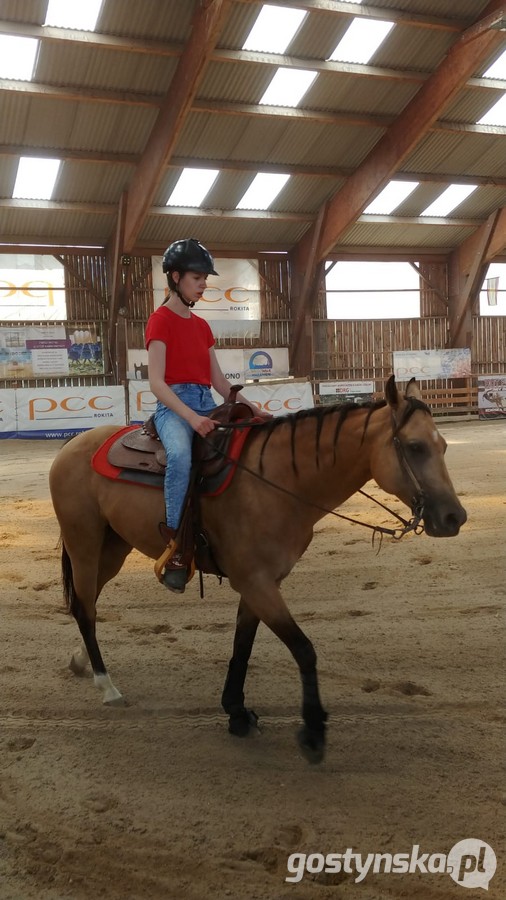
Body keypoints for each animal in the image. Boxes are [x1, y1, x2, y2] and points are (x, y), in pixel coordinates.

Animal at [48, 376, 466, 764]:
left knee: (88, 603)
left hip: (113, 547)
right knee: (84, 607)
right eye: (415, 446)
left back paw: (82, 660)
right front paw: (313, 732)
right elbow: (304, 649)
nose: (454, 517)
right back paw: (107, 685)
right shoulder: (257, 583)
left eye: (444, 446)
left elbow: (242, 646)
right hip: (84, 544)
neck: (279, 481)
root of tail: (72, 446)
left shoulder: (259, 584)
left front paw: (236, 712)